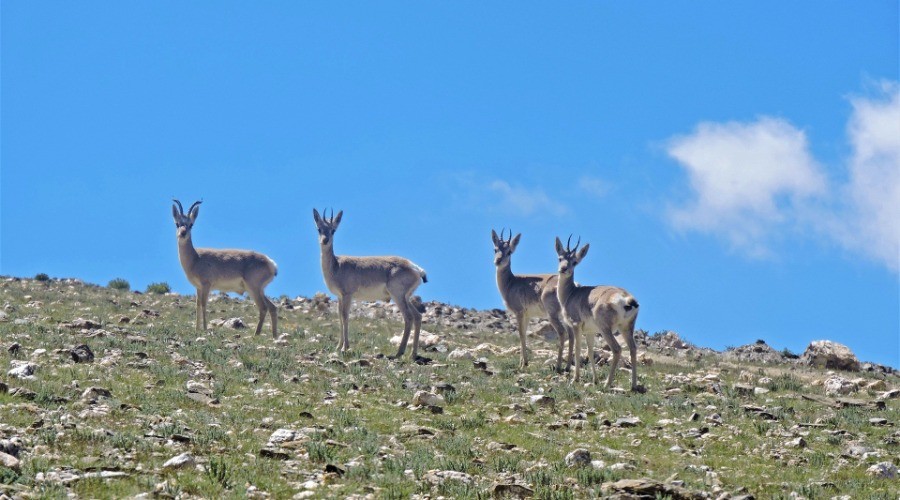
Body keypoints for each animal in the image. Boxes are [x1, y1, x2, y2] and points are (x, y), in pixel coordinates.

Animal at [172, 199, 278, 336]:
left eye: (191, 224)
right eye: (177, 223)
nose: (183, 233)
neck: (195, 258)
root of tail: (270, 262)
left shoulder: (206, 286)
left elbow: (204, 304)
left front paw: (205, 329)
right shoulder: (198, 287)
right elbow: (197, 305)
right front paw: (196, 329)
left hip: (253, 289)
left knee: (263, 308)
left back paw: (256, 334)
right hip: (259, 290)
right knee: (272, 307)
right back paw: (274, 336)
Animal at [313, 208, 428, 360]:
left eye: (333, 230)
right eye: (319, 229)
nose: (325, 240)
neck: (336, 266)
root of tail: (415, 268)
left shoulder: (348, 295)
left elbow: (345, 316)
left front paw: (345, 347)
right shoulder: (339, 297)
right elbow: (339, 316)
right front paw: (338, 346)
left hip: (397, 296)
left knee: (408, 318)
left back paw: (399, 353)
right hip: (406, 297)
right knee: (417, 317)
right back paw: (412, 354)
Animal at [492, 229, 573, 372]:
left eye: (509, 251)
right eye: (495, 249)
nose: (498, 260)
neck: (511, 283)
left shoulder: (519, 312)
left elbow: (520, 334)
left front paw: (524, 363)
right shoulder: (527, 315)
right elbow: (524, 333)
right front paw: (522, 362)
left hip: (553, 316)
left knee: (562, 333)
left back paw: (558, 366)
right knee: (572, 334)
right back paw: (567, 367)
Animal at [555, 235, 641, 391]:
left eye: (575, 262)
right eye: (560, 258)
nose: (563, 269)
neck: (571, 294)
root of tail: (626, 297)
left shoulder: (576, 325)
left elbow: (577, 349)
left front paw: (576, 379)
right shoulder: (590, 332)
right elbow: (590, 352)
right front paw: (595, 380)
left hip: (606, 329)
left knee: (617, 349)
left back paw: (607, 384)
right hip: (626, 329)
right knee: (633, 349)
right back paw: (633, 386)